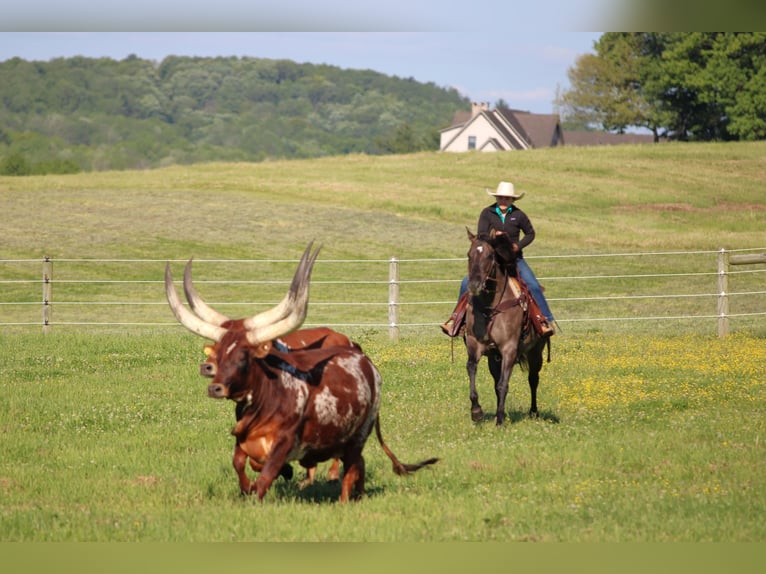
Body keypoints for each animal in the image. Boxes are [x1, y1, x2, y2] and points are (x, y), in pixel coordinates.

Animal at [463, 228, 550, 425]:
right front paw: (476, 411)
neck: (491, 308)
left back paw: (533, 412)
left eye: (489, 255)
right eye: (469, 255)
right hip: (494, 358)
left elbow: (504, 384)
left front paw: (500, 420)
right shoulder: (475, 345)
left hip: (536, 352)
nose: (474, 285)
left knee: (533, 379)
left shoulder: (509, 349)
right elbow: (472, 369)